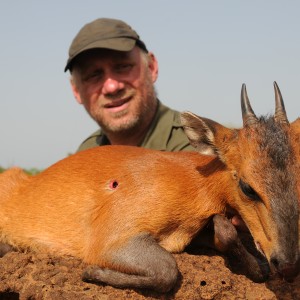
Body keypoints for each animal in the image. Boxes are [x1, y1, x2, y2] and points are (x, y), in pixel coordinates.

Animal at [0, 81, 298, 290]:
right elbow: (167, 269)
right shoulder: (111, 240)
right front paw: (90, 272)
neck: (194, 182)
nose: (288, 265)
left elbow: (235, 245)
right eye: (247, 187)